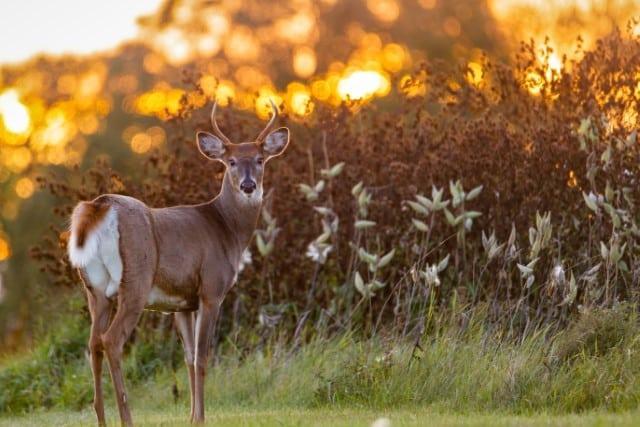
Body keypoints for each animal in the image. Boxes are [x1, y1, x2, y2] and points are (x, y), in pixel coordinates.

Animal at [67, 99, 288, 424]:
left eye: (260, 159)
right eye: (231, 161)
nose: (248, 186)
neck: (226, 229)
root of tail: (99, 206)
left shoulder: (182, 304)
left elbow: (188, 358)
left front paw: (191, 416)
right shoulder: (211, 290)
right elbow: (203, 357)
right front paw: (201, 418)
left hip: (95, 290)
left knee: (93, 342)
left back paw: (101, 418)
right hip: (135, 281)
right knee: (112, 340)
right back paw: (126, 418)